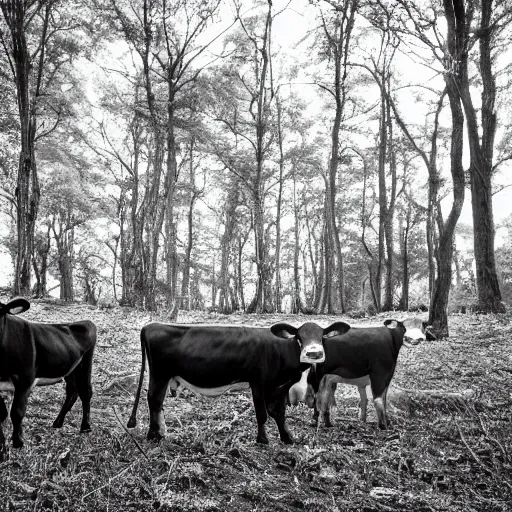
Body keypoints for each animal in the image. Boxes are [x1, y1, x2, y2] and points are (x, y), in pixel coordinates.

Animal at [0, 298, 97, 458]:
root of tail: (84, 322)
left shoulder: (25, 379)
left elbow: (17, 412)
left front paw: (18, 442)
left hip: (85, 362)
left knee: (85, 392)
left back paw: (85, 427)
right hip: (70, 368)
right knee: (72, 392)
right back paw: (58, 422)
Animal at [128, 320, 352, 444]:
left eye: (322, 337)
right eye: (299, 337)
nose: (313, 353)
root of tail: (151, 325)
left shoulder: (280, 385)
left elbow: (279, 413)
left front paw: (287, 437)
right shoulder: (258, 382)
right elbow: (262, 413)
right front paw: (263, 439)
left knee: (158, 403)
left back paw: (161, 432)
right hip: (160, 374)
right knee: (153, 400)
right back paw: (153, 435)